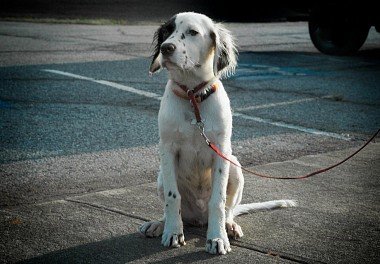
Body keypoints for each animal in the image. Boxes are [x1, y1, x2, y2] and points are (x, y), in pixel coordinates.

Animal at [138, 11, 296, 254]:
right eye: (166, 31)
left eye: (193, 32)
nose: (166, 48)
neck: (193, 97)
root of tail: (198, 218)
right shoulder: (167, 149)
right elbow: (173, 197)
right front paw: (173, 232)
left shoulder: (221, 151)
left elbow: (218, 201)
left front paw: (217, 237)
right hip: (161, 176)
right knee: (170, 205)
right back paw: (160, 224)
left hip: (235, 165)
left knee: (229, 210)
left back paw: (229, 226)